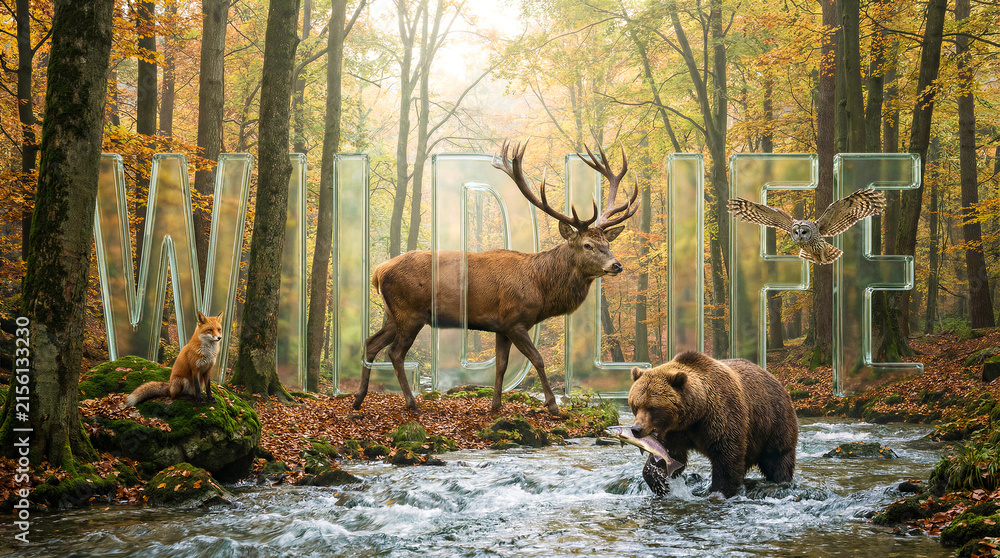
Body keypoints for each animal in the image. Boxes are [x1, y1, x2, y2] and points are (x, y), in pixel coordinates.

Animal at [353, 139, 640, 416]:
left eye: (607, 243)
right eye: (587, 245)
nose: (617, 265)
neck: (540, 287)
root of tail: (378, 272)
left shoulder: (501, 326)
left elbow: (501, 365)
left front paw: (496, 406)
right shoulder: (515, 321)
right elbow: (537, 359)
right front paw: (553, 406)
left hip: (393, 314)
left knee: (371, 343)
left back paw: (358, 399)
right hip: (410, 313)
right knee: (394, 352)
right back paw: (411, 404)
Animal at [628, 351, 798, 497]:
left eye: (652, 407)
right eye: (635, 405)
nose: (636, 429)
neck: (695, 414)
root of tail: (774, 378)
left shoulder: (721, 416)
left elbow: (727, 456)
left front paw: (720, 490)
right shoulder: (674, 432)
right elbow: (669, 455)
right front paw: (661, 483)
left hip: (773, 420)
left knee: (777, 456)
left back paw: (780, 480)